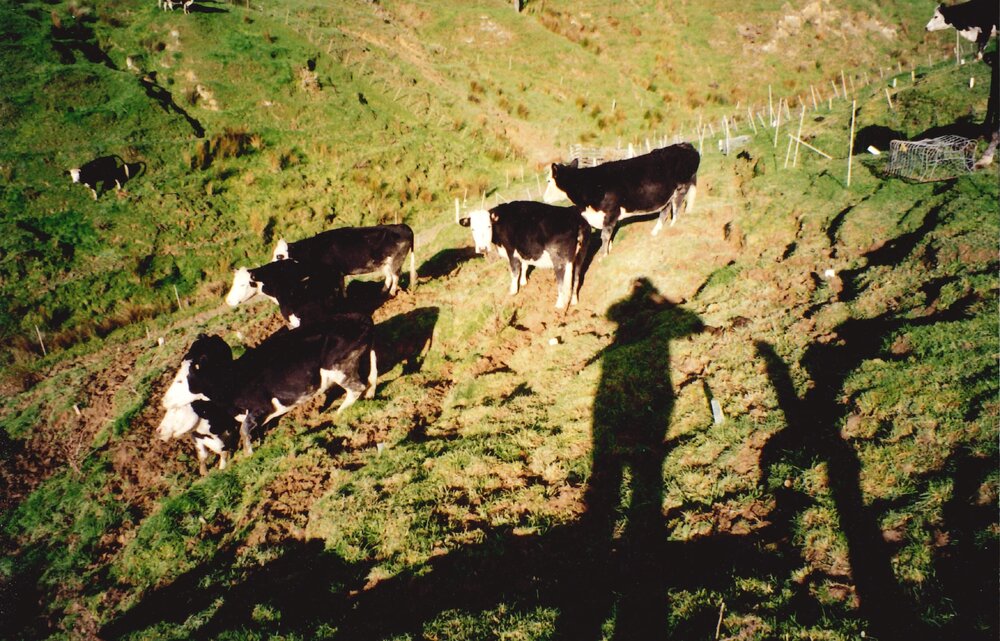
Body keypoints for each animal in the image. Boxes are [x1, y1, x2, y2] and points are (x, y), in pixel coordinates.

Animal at [157, 315, 378, 474]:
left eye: (180, 380)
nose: (163, 401)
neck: (233, 380)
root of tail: (361, 319)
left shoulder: (260, 407)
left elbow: (243, 431)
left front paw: (249, 454)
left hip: (340, 368)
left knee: (356, 388)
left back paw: (339, 412)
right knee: (370, 378)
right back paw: (369, 394)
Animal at [272, 224, 416, 297]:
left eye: (279, 256)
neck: (314, 248)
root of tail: (403, 226)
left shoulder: (333, 272)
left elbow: (337, 288)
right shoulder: (339, 273)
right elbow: (341, 285)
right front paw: (345, 297)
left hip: (395, 261)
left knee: (395, 276)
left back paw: (391, 293)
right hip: (385, 263)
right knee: (389, 277)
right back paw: (382, 291)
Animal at [457, 201, 589, 309]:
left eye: (489, 226)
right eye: (473, 229)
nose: (482, 248)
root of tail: (572, 213)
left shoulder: (511, 251)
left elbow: (514, 271)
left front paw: (513, 290)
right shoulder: (523, 250)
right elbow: (525, 265)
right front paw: (523, 282)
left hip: (559, 259)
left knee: (562, 282)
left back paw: (560, 305)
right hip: (580, 255)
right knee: (576, 278)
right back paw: (574, 301)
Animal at [544, 143, 700, 257]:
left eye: (548, 181)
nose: (544, 198)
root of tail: (685, 145)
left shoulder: (611, 212)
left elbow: (605, 235)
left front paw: (603, 256)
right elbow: (608, 236)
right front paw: (609, 250)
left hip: (681, 188)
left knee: (676, 207)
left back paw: (672, 226)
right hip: (667, 195)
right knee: (665, 211)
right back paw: (656, 232)